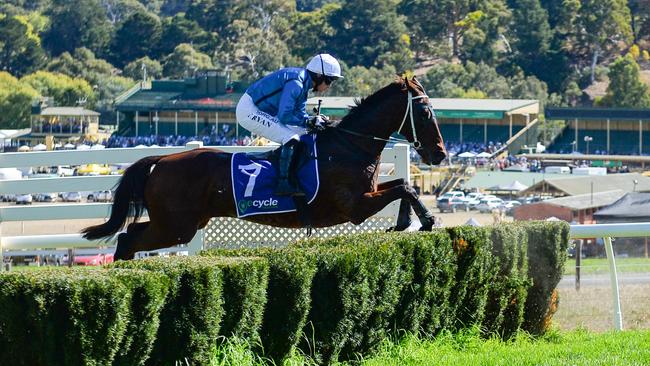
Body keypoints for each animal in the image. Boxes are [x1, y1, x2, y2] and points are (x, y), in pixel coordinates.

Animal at [81, 77, 446, 260]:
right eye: (425, 112)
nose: (440, 154)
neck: (349, 146)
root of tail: (160, 161)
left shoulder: (367, 193)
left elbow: (402, 184)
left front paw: (408, 221)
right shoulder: (354, 207)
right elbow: (405, 187)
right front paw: (423, 220)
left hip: (180, 223)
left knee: (128, 236)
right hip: (176, 227)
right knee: (128, 239)